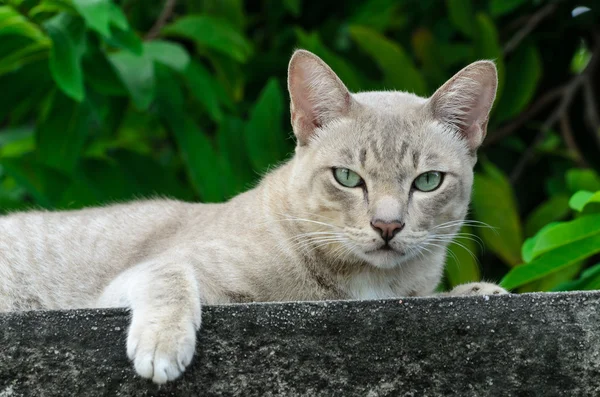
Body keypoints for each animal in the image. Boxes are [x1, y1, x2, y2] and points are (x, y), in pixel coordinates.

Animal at [0, 48, 506, 382]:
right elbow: (170, 275)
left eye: (427, 181)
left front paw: (477, 291)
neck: (369, 283)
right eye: (347, 177)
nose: (387, 226)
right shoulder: (136, 278)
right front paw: (163, 342)